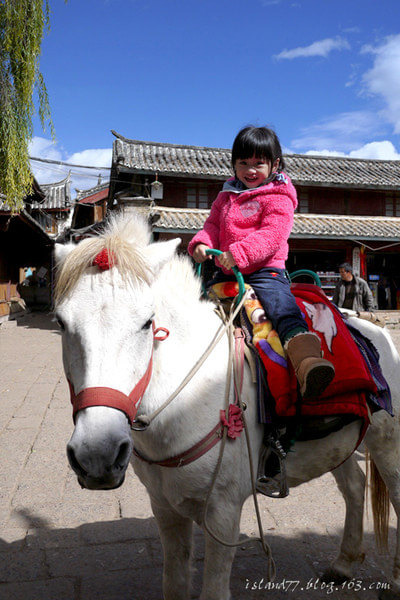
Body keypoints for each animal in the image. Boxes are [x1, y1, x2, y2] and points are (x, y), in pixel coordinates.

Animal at [54, 214, 400, 600]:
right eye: (61, 322)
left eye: (146, 322)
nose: (96, 454)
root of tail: (373, 328)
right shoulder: (164, 507)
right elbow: (174, 582)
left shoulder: (223, 511)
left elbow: (214, 588)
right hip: (339, 440)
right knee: (354, 486)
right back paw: (343, 564)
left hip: (387, 441)